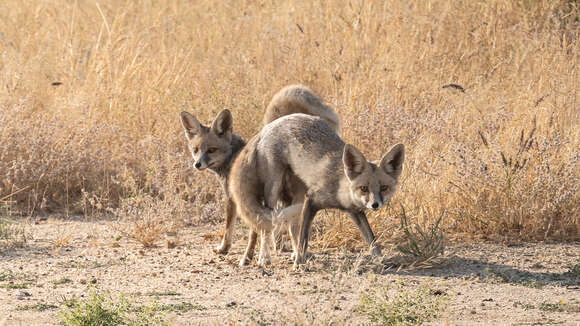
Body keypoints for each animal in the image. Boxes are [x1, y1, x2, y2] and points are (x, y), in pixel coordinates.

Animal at [178, 84, 340, 264]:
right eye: (195, 150)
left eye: (212, 150)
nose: (197, 164)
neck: (232, 157)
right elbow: (258, 231)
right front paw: (252, 254)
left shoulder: (234, 199)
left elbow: (232, 229)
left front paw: (228, 250)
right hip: (288, 195)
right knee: (292, 224)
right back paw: (294, 253)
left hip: (272, 194)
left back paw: (269, 256)